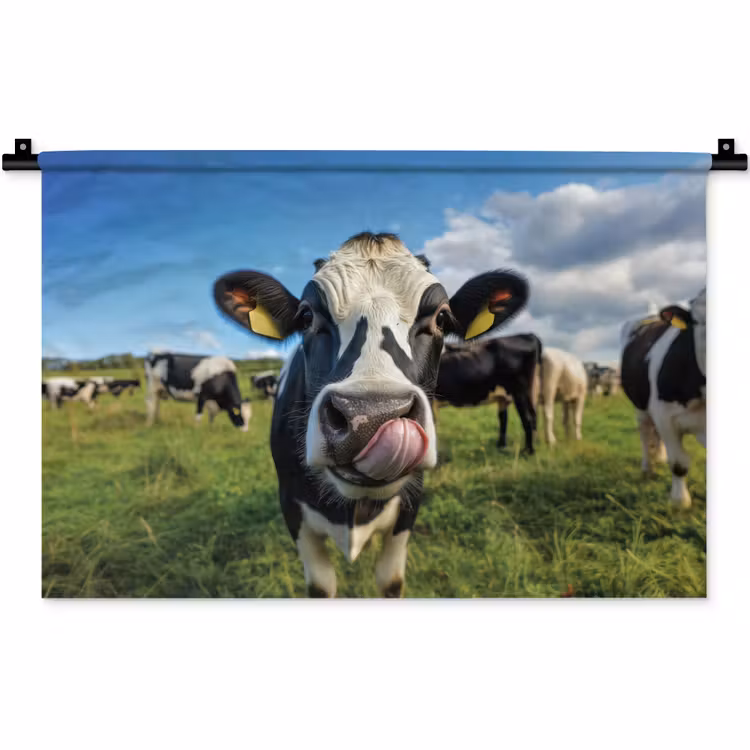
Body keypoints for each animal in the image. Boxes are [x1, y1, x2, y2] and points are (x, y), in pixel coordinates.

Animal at [212, 231, 529, 597]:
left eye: (441, 318)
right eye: (306, 317)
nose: (370, 417)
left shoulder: (410, 504)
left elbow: (390, 580)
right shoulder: (292, 507)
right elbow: (321, 586)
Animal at [620, 288, 706, 508]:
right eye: (700, 322)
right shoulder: (666, 417)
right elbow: (678, 463)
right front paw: (679, 502)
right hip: (641, 406)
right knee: (645, 433)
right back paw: (648, 467)